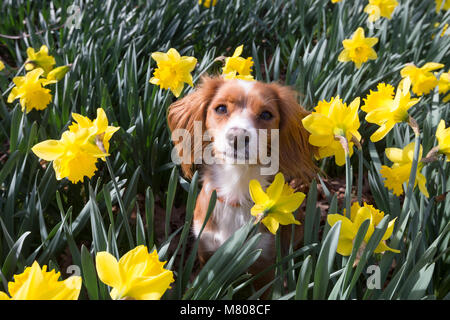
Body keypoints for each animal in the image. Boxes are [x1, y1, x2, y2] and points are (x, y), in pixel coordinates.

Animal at [166, 75, 316, 292]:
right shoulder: (206, 250)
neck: (236, 188)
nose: (237, 136)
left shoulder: (264, 264)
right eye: (221, 108)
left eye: (266, 114)